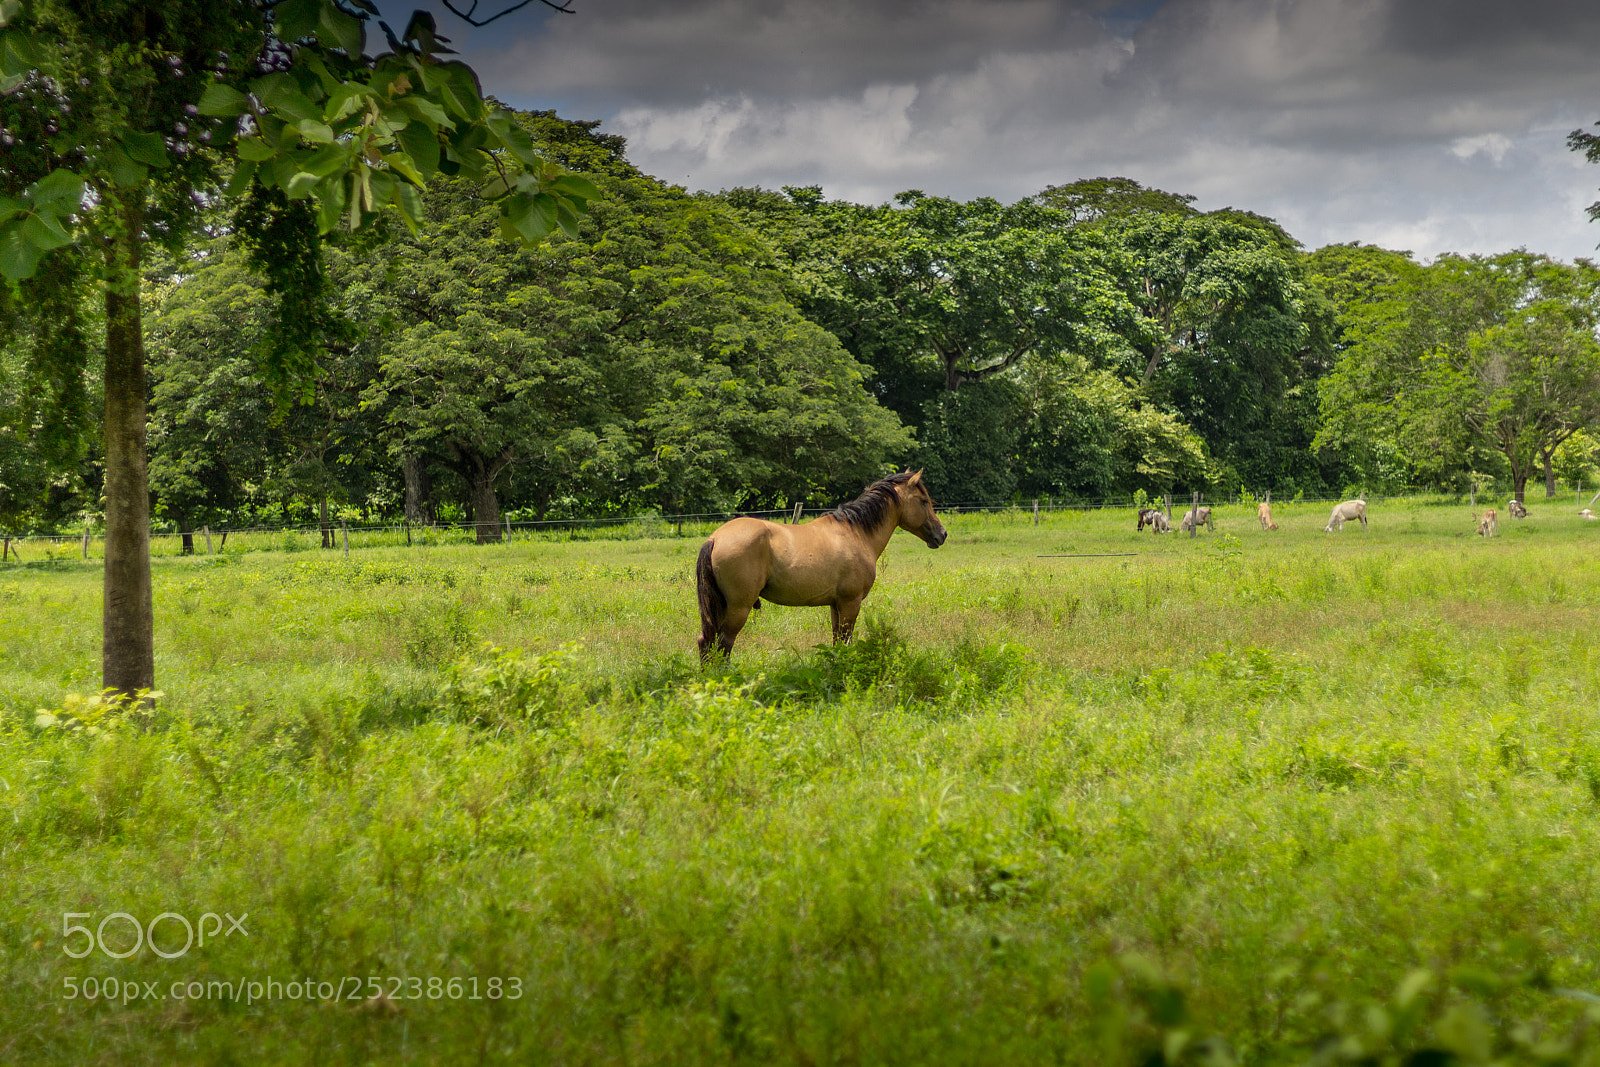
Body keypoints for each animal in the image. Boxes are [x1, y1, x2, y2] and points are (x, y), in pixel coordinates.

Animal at [696, 471, 948, 662]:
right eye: (924, 501)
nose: (942, 534)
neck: (856, 533)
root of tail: (715, 538)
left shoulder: (836, 605)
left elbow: (837, 642)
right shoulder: (850, 603)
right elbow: (845, 641)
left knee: (707, 643)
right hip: (739, 607)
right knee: (723, 645)